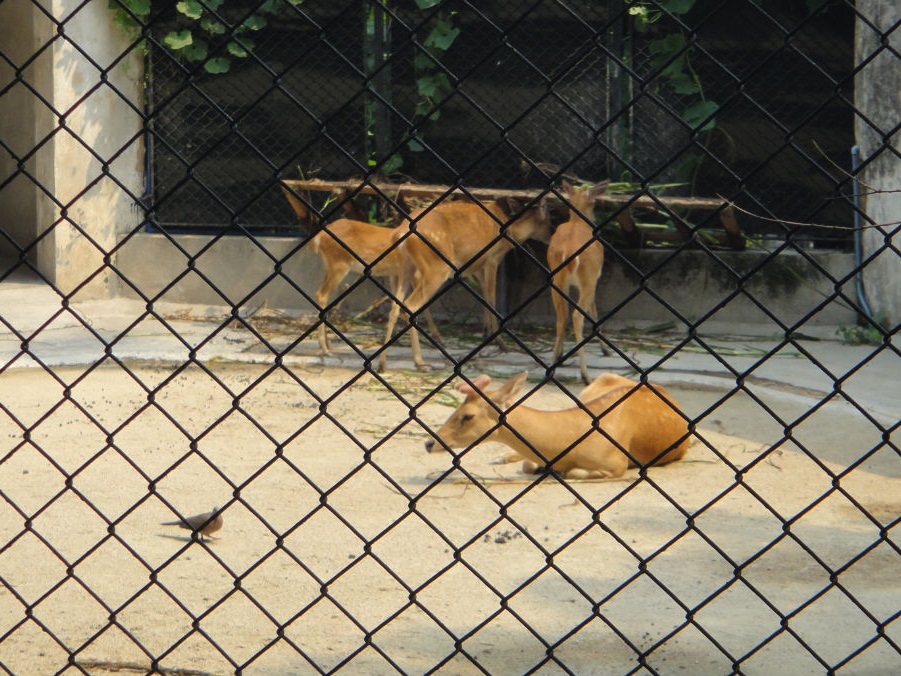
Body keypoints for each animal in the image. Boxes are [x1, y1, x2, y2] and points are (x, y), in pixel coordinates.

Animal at [307, 218, 441, 354]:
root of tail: (318, 237)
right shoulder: (417, 273)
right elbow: (422, 306)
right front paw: (437, 337)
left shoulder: (394, 273)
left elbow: (396, 303)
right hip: (339, 264)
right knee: (321, 294)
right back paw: (324, 348)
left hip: (329, 266)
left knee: (321, 296)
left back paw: (326, 345)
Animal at [377, 198, 552, 372]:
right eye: (552, 222)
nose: (551, 239)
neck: (508, 233)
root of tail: (399, 232)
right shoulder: (491, 259)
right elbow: (491, 299)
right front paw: (501, 343)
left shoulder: (476, 267)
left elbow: (484, 298)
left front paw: (486, 332)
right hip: (437, 268)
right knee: (411, 306)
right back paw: (420, 362)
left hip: (406, 266)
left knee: (394, 307)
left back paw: (383, 364)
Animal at [546, 180, 612, 385]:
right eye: (595, 203)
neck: (577, 221)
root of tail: (568, 251)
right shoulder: (595, 278)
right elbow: (594, 311)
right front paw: (605, 349)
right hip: (587, 278)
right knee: (577, 316)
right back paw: (586, 376)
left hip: (556, 279)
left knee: (561, 316)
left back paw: (555, 361)